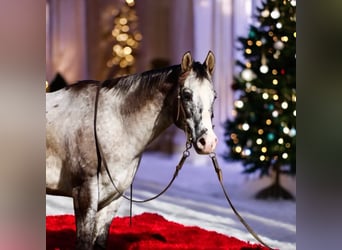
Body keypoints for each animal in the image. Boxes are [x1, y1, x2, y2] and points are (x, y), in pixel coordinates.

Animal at [45, 51, 218, 250]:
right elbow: (85, 242)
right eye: (187, 94)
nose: (208, 142)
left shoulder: (113, 197)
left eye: (214, 96)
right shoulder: (84, 192)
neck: (112, 124)